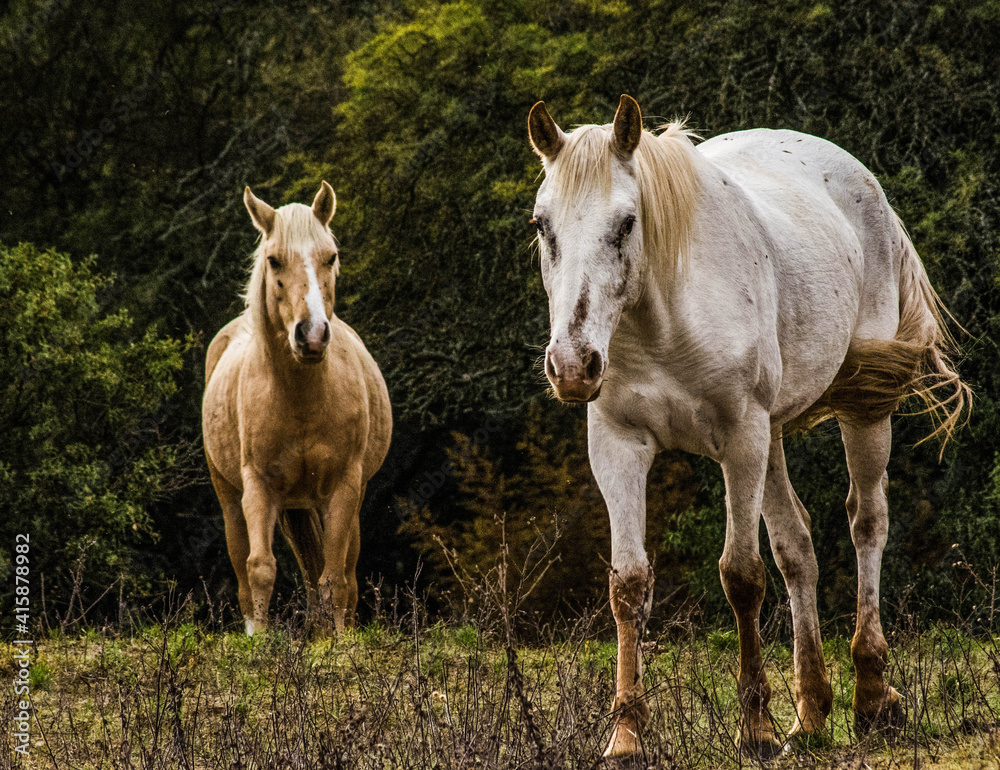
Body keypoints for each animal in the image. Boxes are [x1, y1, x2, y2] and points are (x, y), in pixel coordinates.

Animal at [202, 182, 392, 635]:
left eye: (331, 256)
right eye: (274, 260)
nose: (312, 335)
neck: (301, 399)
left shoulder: (343, 487)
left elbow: (334, 577)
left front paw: (337, 642)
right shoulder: (258, 487)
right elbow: (260, 569)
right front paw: (258, 640)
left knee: (342, 572)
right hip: (232, 497)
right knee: (245, 569)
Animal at [527, 95, 969, 757]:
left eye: (627, 223)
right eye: (541, 224)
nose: (573, 366)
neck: (664, 321)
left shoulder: (740, 439)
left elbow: (742, 576)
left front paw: (755, 730)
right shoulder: (618, 445)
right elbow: (628, 587)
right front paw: (627, 737)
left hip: (861, 410)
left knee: (867, 523)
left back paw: (872, 697)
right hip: (775, 436)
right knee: (798, 548)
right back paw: (811, 714)